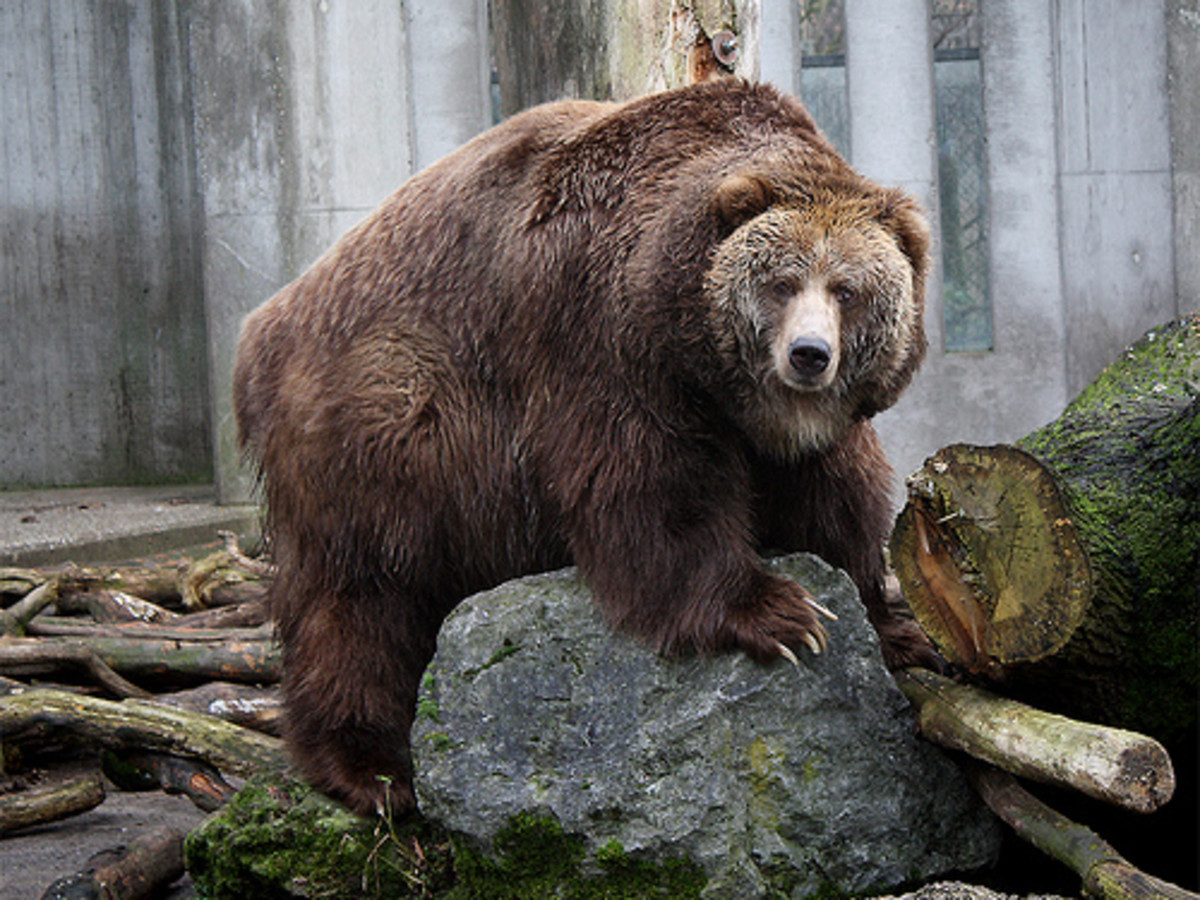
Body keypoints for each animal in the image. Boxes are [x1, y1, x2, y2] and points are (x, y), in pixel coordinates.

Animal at [233, 79, 934, 817]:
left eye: (847, 290)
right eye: (781, 282)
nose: (808, 354)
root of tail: (264, 326)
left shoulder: (801, 436)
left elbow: (838, 507)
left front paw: (894, 629)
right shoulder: (599, 339)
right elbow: (651, 488)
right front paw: (779, 612)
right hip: (381, 426)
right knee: (359, 599)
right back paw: (370, 768)